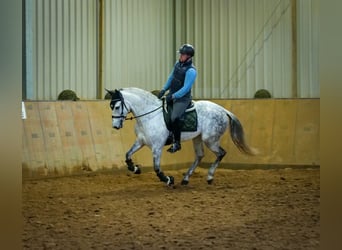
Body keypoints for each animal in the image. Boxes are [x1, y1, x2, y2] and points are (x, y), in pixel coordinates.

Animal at [107, 87, 256, 187]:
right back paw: (186, 179)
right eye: (111, 106)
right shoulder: (140, 141)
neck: (149, 115)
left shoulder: (157, 147)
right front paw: (135, 168)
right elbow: (127, 155)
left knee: (221, 153)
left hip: (210, 140)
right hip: (198, 138)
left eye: (117, 106)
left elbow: (157, 168)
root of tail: (223, 110)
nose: (115, 126)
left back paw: (209, 176)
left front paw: (168, 180)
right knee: (199, 156)